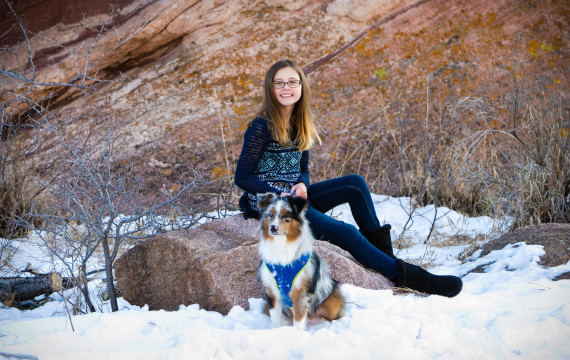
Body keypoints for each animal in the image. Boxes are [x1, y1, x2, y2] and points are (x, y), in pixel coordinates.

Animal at [256, 194, 344, 330]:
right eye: (270, 215)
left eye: (286, 217)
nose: (273, 228)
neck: (281, 246)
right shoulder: (271, 291)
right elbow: (275, 319)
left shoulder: (300, 291)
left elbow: (298, 319)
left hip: (331, 301)